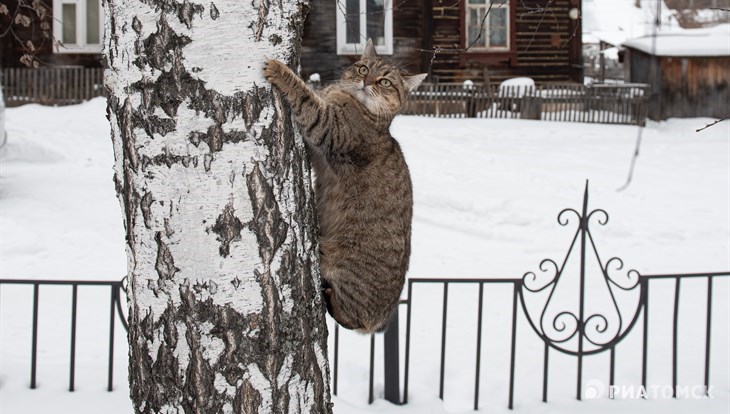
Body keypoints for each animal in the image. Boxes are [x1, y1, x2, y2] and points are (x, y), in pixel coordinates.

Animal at [264, 38, 426, 330]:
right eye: (363, 69)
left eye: (385, 82)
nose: (367, 81)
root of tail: (384, 317)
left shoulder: (329, 127)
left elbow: (306, 97)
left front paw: (281, 71)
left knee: (354, 321)